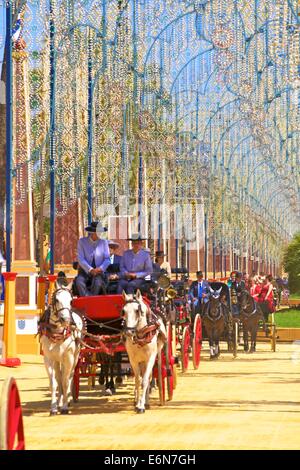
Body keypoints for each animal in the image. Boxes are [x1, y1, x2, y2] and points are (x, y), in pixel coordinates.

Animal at [39, 282, 83, 414]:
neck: (57, 333)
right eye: (56, 300)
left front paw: (64, 407)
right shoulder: (48, 359)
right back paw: (59, 401)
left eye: (71, 301)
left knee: (69, 377)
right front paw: (53, 407)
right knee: (59, 378)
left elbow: (65, 382)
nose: (66, 319)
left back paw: (67, 400)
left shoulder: (68, 359)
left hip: (75, 358)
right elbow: (53, 383)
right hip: (57, 361)